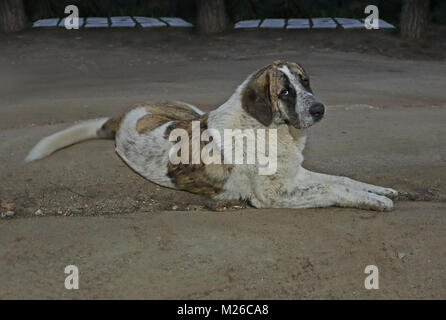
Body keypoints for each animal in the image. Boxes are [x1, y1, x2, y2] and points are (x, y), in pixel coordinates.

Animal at [25, 60, 398, 211]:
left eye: (305, 82)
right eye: (285, 92)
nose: (319, 109)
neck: (270, 129)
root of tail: (126, 114)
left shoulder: (296, 175)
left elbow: (341, 179)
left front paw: (380, 190)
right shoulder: (274, 197)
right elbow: (331, 190)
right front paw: (374, 202)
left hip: (190, 110)